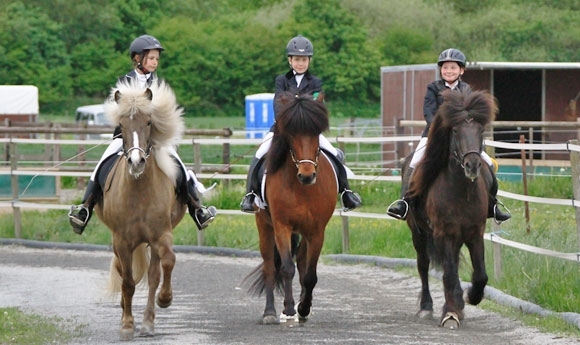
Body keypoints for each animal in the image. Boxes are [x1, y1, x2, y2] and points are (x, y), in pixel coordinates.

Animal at [94, 81, 187, 342]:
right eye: (121, 125)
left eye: (148, 122)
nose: (136, 162)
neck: (139, 190)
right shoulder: (122, 241)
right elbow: (127, 282)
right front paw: (127, 325)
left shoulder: (161, 236)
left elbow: (167, 263)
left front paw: (164, 301)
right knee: (123, 273)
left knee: (154, 274)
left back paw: (147, 322)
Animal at [244, 91, 336, 322]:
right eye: (291, 133)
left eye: (316, 133)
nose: (307, 175)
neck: (301, 188)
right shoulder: (282, 227)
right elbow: (286, 268)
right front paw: (288, 307)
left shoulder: (317, 231)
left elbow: (310, 274)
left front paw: (304, 307)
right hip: (265, 227)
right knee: (269, 266)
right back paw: (269, 312)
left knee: (302, 261)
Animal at [406, 88, 496, 328]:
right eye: (455, 130)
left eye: (480, 130)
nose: (472, 166)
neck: (461, 191)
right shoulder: (444, 233)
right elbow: (448, 275)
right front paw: (451, 312)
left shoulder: (475, 232)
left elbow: (481, 274)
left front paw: (471, 297)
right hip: (418, 233)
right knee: (424, 265)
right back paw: (426, 307)